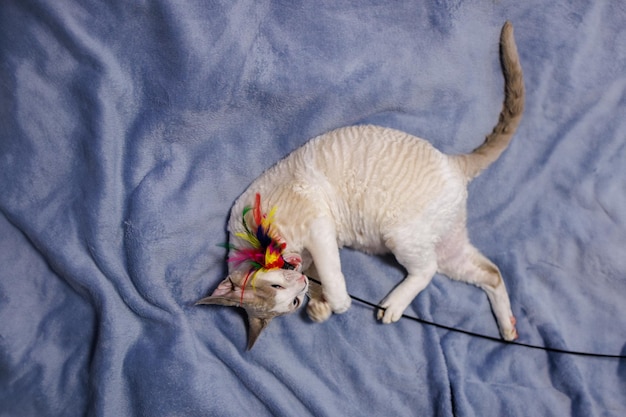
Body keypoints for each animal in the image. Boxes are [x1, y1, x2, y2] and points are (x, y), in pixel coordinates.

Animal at [199, 22, 520, 348]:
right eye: (291, 302)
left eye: (279, 287)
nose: (299, 284)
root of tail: (454, 162)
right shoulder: (310, 255)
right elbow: (319, 277)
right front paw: (320, 306)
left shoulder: (317, 226)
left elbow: (330, 270)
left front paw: (338, 301)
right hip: (446, 250)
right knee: (491, 273)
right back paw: (508, 327)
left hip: (401, 234)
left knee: (428, 270)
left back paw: (393, 305)